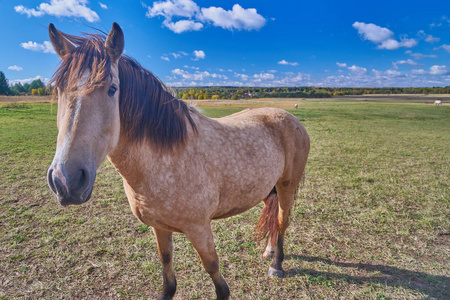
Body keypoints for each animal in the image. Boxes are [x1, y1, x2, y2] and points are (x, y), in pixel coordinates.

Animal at [47, 23, 312, 300]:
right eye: (59, 90)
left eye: (112, 89)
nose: (66, 181)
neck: (163, 159)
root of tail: (290, 117)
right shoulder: (159, 228)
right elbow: (167, 269)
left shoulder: (199, 228)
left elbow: (215, 272)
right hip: (266, 187)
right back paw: (269, 250)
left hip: (286, 186)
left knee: (282, 220)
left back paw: (277, 265)